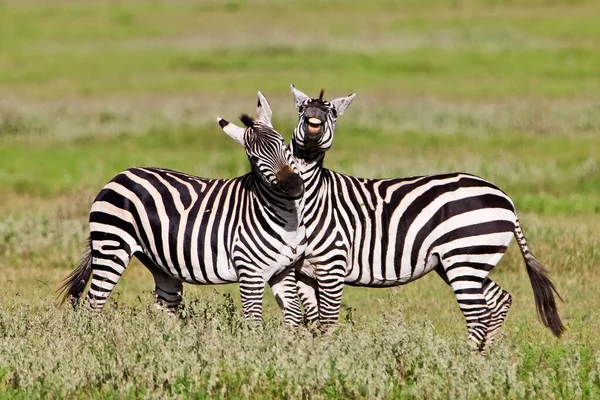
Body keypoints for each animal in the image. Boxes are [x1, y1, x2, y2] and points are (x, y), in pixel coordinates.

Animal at [58, 92, 308, 326]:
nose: (293, 186)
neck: (285, 218)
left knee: (164, 310)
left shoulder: (284, 271)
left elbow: (294, 317)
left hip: (159, 264)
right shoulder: (250, 273)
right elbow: (254, 322)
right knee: (93, 305)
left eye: (284, 145)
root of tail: (119, 176)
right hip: (112, 247)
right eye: (255, 159)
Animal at [288, 84, 564, 350]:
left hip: (465, 260)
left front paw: (328, 356)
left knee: (478, 315)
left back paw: (463, 361)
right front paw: (310, 355)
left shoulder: (333, 267)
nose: (315, 117)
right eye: (301, 109)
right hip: (465, 262)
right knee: (499, 300)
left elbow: (327, 322)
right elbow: (311, 322)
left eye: (332, 113)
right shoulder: (303, 273)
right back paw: (486, 357)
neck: (312, 199)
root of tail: (505, 198)